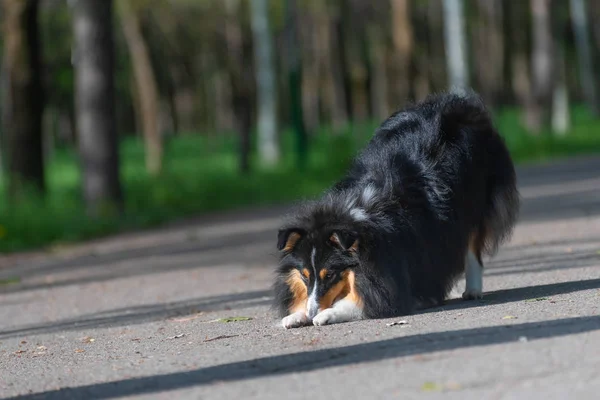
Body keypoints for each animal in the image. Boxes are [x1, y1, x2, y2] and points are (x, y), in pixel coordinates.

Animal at [274, 90, 520, 328]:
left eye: (331, 274)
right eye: (305, 276)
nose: (311, 312)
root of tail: (459, 106)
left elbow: (375, 300)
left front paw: (327, 314)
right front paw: (295, 316)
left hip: (474, 202)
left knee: (472, 247)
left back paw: (473, 290)